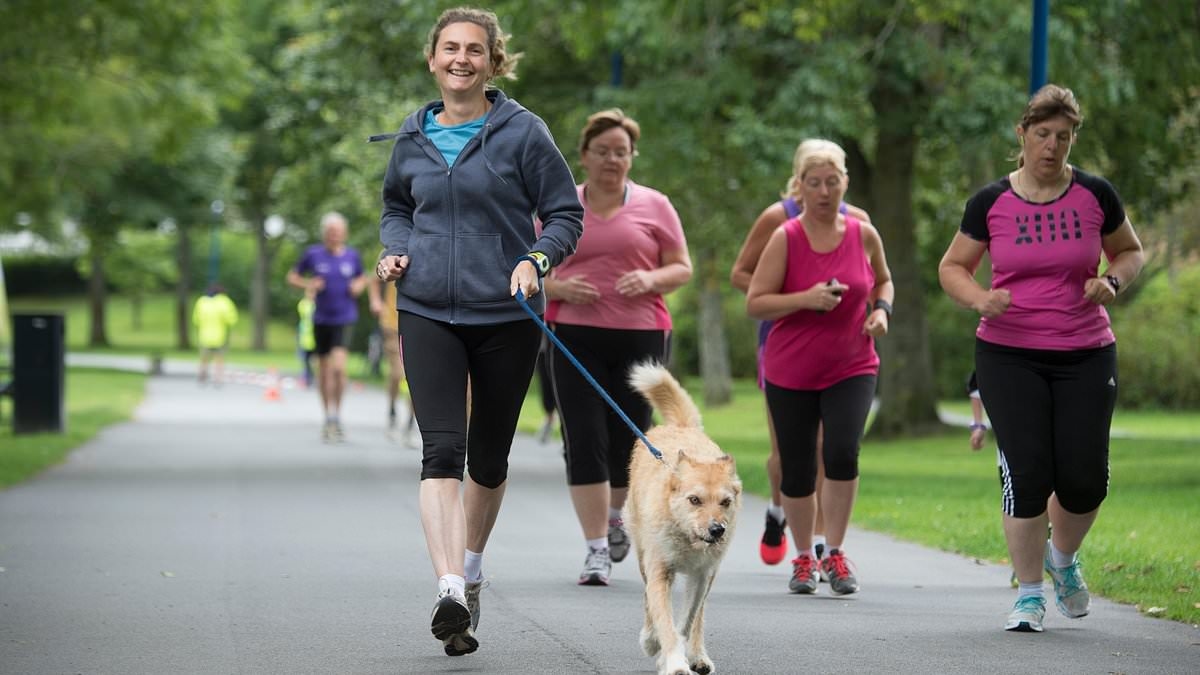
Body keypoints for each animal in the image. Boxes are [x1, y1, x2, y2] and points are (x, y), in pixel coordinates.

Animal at [624, 365, 744, 672]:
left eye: (725, 502)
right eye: (694, 500)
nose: (717, 530)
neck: (688, 539)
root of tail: (681, 427)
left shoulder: (702, 576)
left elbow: (687, 621)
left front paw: (675, 656)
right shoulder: (659, 571)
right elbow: (663, 620)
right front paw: (672, 660)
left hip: (709, 575)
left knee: (699, 617)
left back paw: (698, 656)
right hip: (642, 554)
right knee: (647, 600)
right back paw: (652, 639)